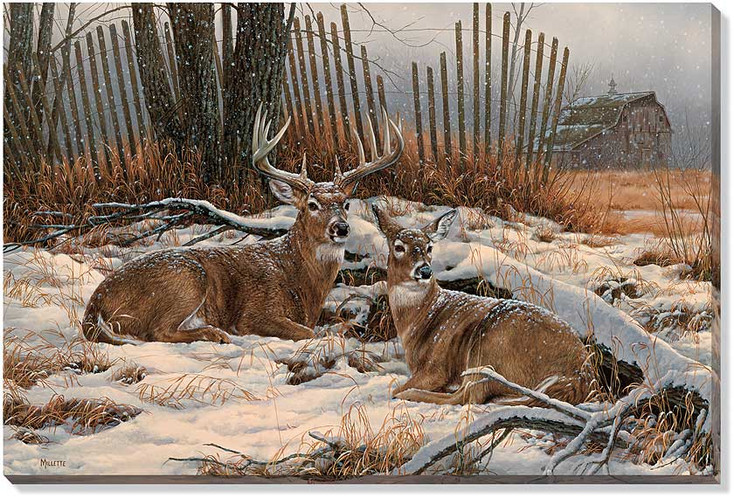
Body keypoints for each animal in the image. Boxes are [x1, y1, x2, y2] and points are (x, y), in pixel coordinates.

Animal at [81, 107, 404, 345]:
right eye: (312, 204)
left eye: (345, 204)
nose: (341, 228)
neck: (300, 277)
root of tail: (95, 304)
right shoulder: (255, 313)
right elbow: (308, 331)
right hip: (187, 279)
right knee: (156, 331)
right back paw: (215, 333)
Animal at [372, 205, 593, 405]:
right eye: (399, 247)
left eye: (429, 248)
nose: (425, 270)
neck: (423, 318)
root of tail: (579, 375)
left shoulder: (436, 367)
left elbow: (405, 386)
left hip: (489, 345)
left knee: (469, 395)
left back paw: (409, 395)